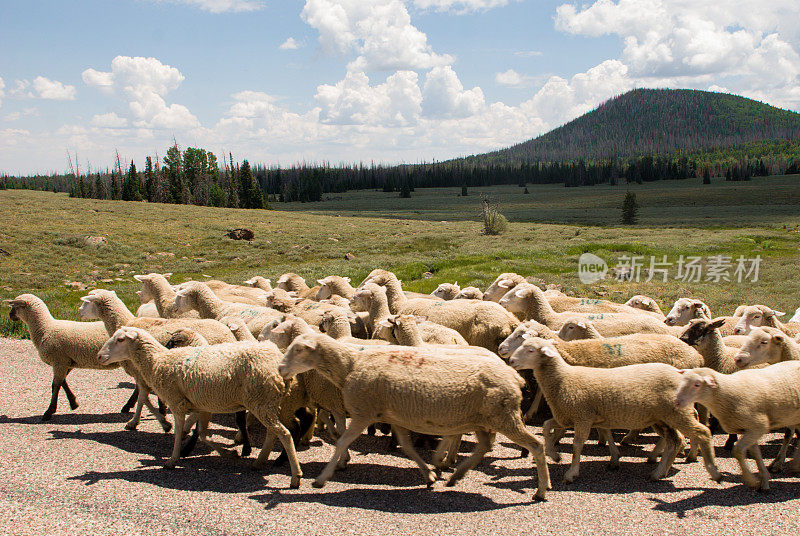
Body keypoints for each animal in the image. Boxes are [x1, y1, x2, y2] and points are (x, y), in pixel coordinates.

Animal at [276, 332, 552, 500]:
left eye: (299, 350)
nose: (280, 369)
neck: (350, 365)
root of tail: (514, 376)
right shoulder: (394, 416)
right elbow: (407, 447)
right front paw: (428, 475)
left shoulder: (364, 412)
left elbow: (342, 441)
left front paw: (322, 479)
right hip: (483, 419)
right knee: (483, 446)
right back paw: (455, 475)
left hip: (502, 416)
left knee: (536, 445)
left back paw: (541, 491)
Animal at [510, 340, 720, 486]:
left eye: (530, 350)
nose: (511, 360)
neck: (563, 378)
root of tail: (680, 373)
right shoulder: (568, 416)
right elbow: (547, 427)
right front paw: (555, 455)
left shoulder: (582, 416)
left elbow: (577, 445)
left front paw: (571, 472)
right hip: (662, 418)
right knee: (674, 441)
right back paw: (659, 472)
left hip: (677, 414)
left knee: (702, 433)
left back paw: (711, 470)